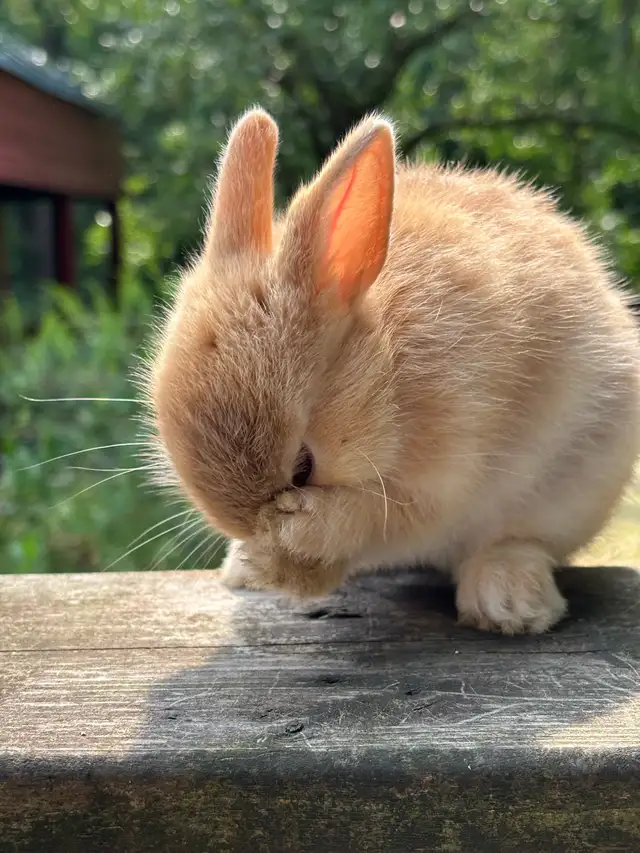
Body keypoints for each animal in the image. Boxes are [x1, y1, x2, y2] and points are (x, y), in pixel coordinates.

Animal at [147, 106, 640, 634]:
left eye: (303, 468)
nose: (297, 585)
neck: (385, 372)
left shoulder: (446, 467)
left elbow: (376, 518)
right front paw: (255, 562)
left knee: (521, 542)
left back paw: (508, 602)